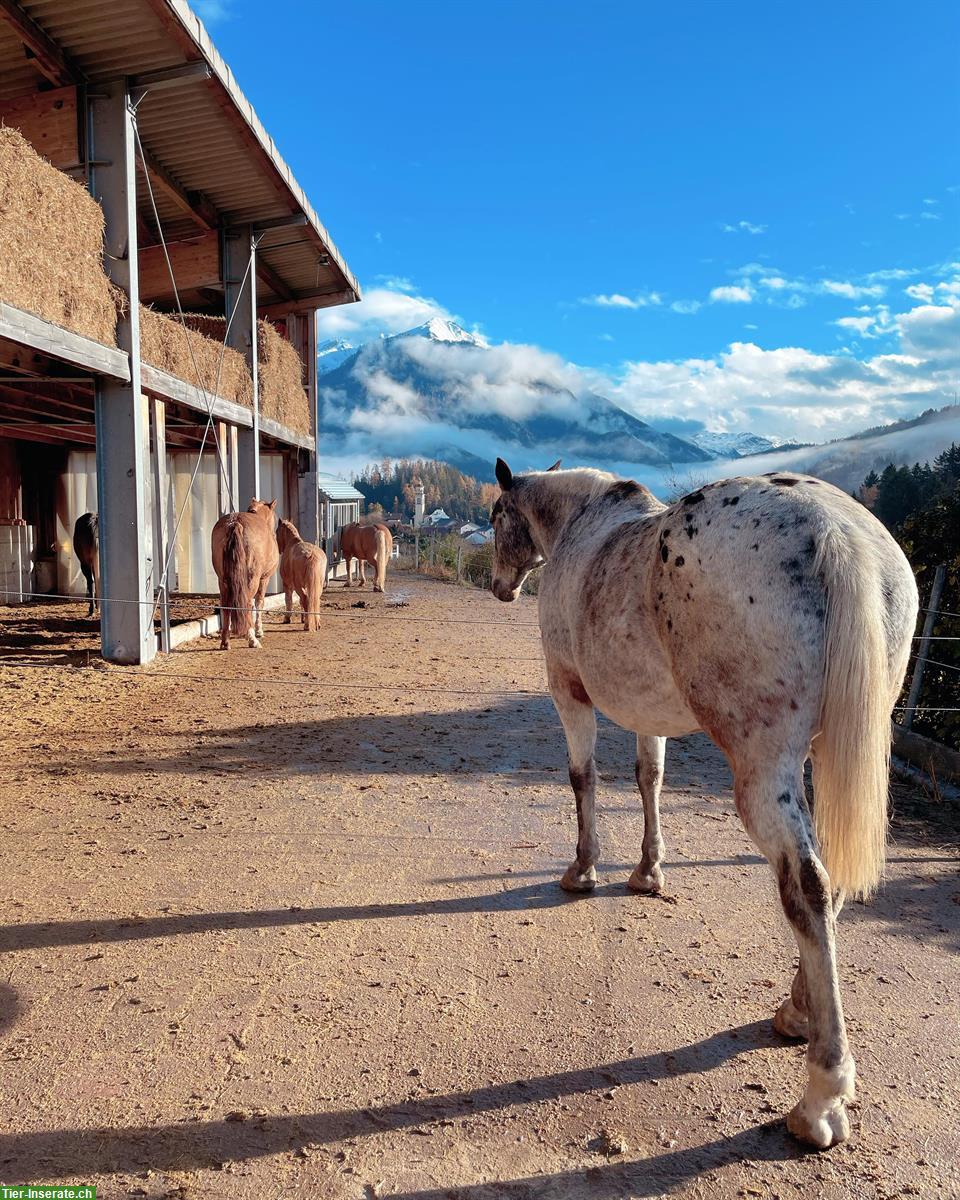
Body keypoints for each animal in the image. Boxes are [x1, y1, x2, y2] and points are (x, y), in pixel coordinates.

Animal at [212, 494, 279, 652]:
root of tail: (235, 523)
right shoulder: (264, 579)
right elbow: (259, 602)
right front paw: (259, 630)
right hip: (251, 580)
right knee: (247, 603)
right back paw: (252, 639)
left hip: (223, 581)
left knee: (226, 606)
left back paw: (225, 642)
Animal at [492, 458, 916, 1152]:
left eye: (499, 517)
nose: (501, 587)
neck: (585, 527)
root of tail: (838, 533)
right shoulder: (648, 715)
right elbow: (650, 779)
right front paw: (646, 871)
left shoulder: (568, 691)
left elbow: (583, 777)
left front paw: (584, 869)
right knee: (830, 878)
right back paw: (798, 1011)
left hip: (763, 770)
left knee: (808, 885)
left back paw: (820, 1098)